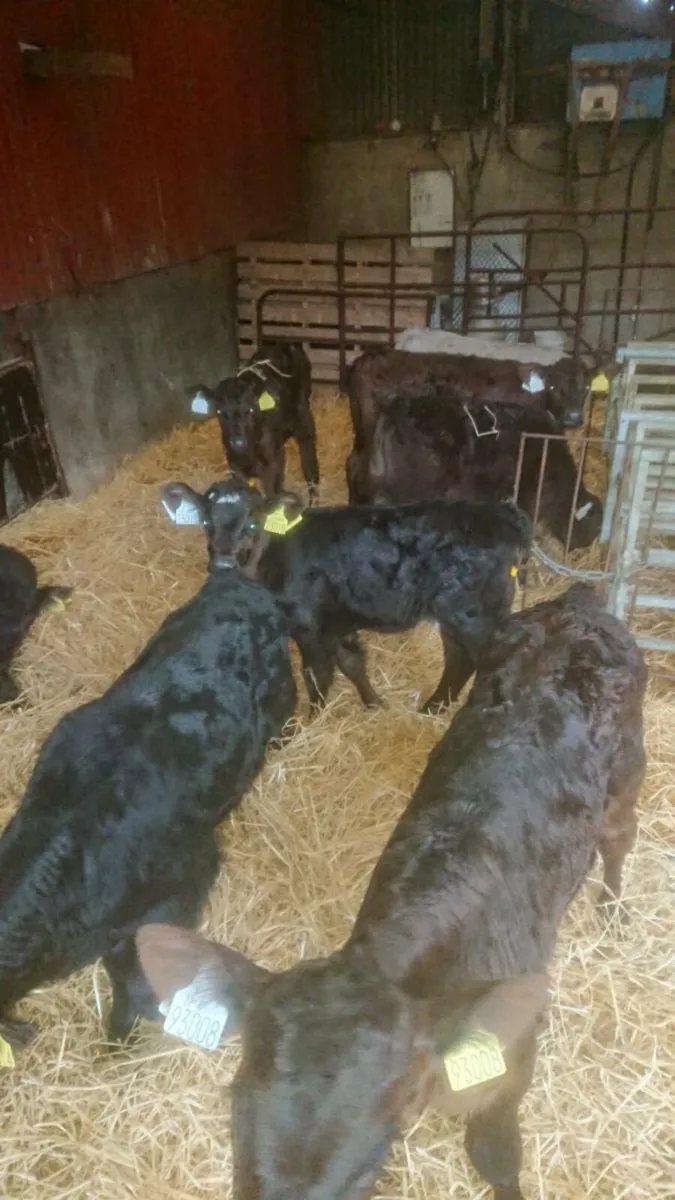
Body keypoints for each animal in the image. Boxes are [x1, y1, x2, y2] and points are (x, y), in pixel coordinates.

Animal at [136, 582, 646, 1200]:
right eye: (236, 1114)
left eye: (369, 1164)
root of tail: (578, 600)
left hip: (629, 773)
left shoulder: (513, 1043)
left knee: (618, 843)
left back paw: (614, 912)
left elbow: (495, 1152)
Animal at [162, 479, 532, 714]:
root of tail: (500, 515)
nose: (223, 564)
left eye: (252, 524)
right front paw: (374, 704)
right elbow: (352, 664)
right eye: (206, 522)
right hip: (454, 615)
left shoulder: (308, 626)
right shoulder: (337, 622)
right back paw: (433, 707)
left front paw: (310, 722)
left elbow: (317, 675)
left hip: (474, 613)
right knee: (458, 659)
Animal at [189, 343, 319, 504]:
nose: (238, 442)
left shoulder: (273, 463)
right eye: (219, 412)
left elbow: (272, 493)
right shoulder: (234, 464)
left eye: (250, 409)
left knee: (308, 451)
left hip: (303, 411)